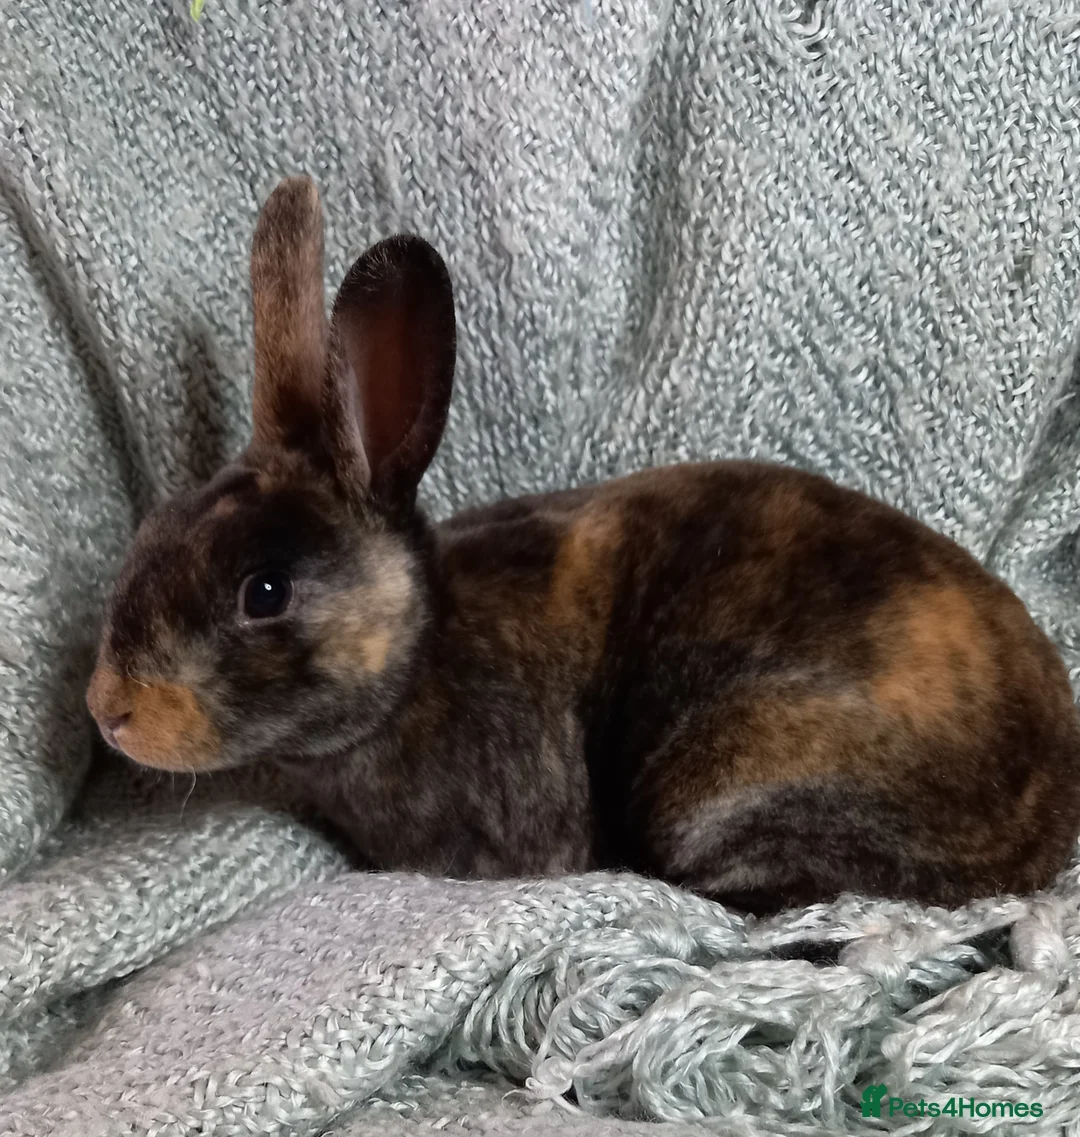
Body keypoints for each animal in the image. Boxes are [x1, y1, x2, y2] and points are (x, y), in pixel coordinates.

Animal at [86, 175, 1080, 914]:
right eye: (155, 529)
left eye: (265, 591)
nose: (108, 708)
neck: (415, 656)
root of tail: (1049, 810)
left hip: (725, 783)